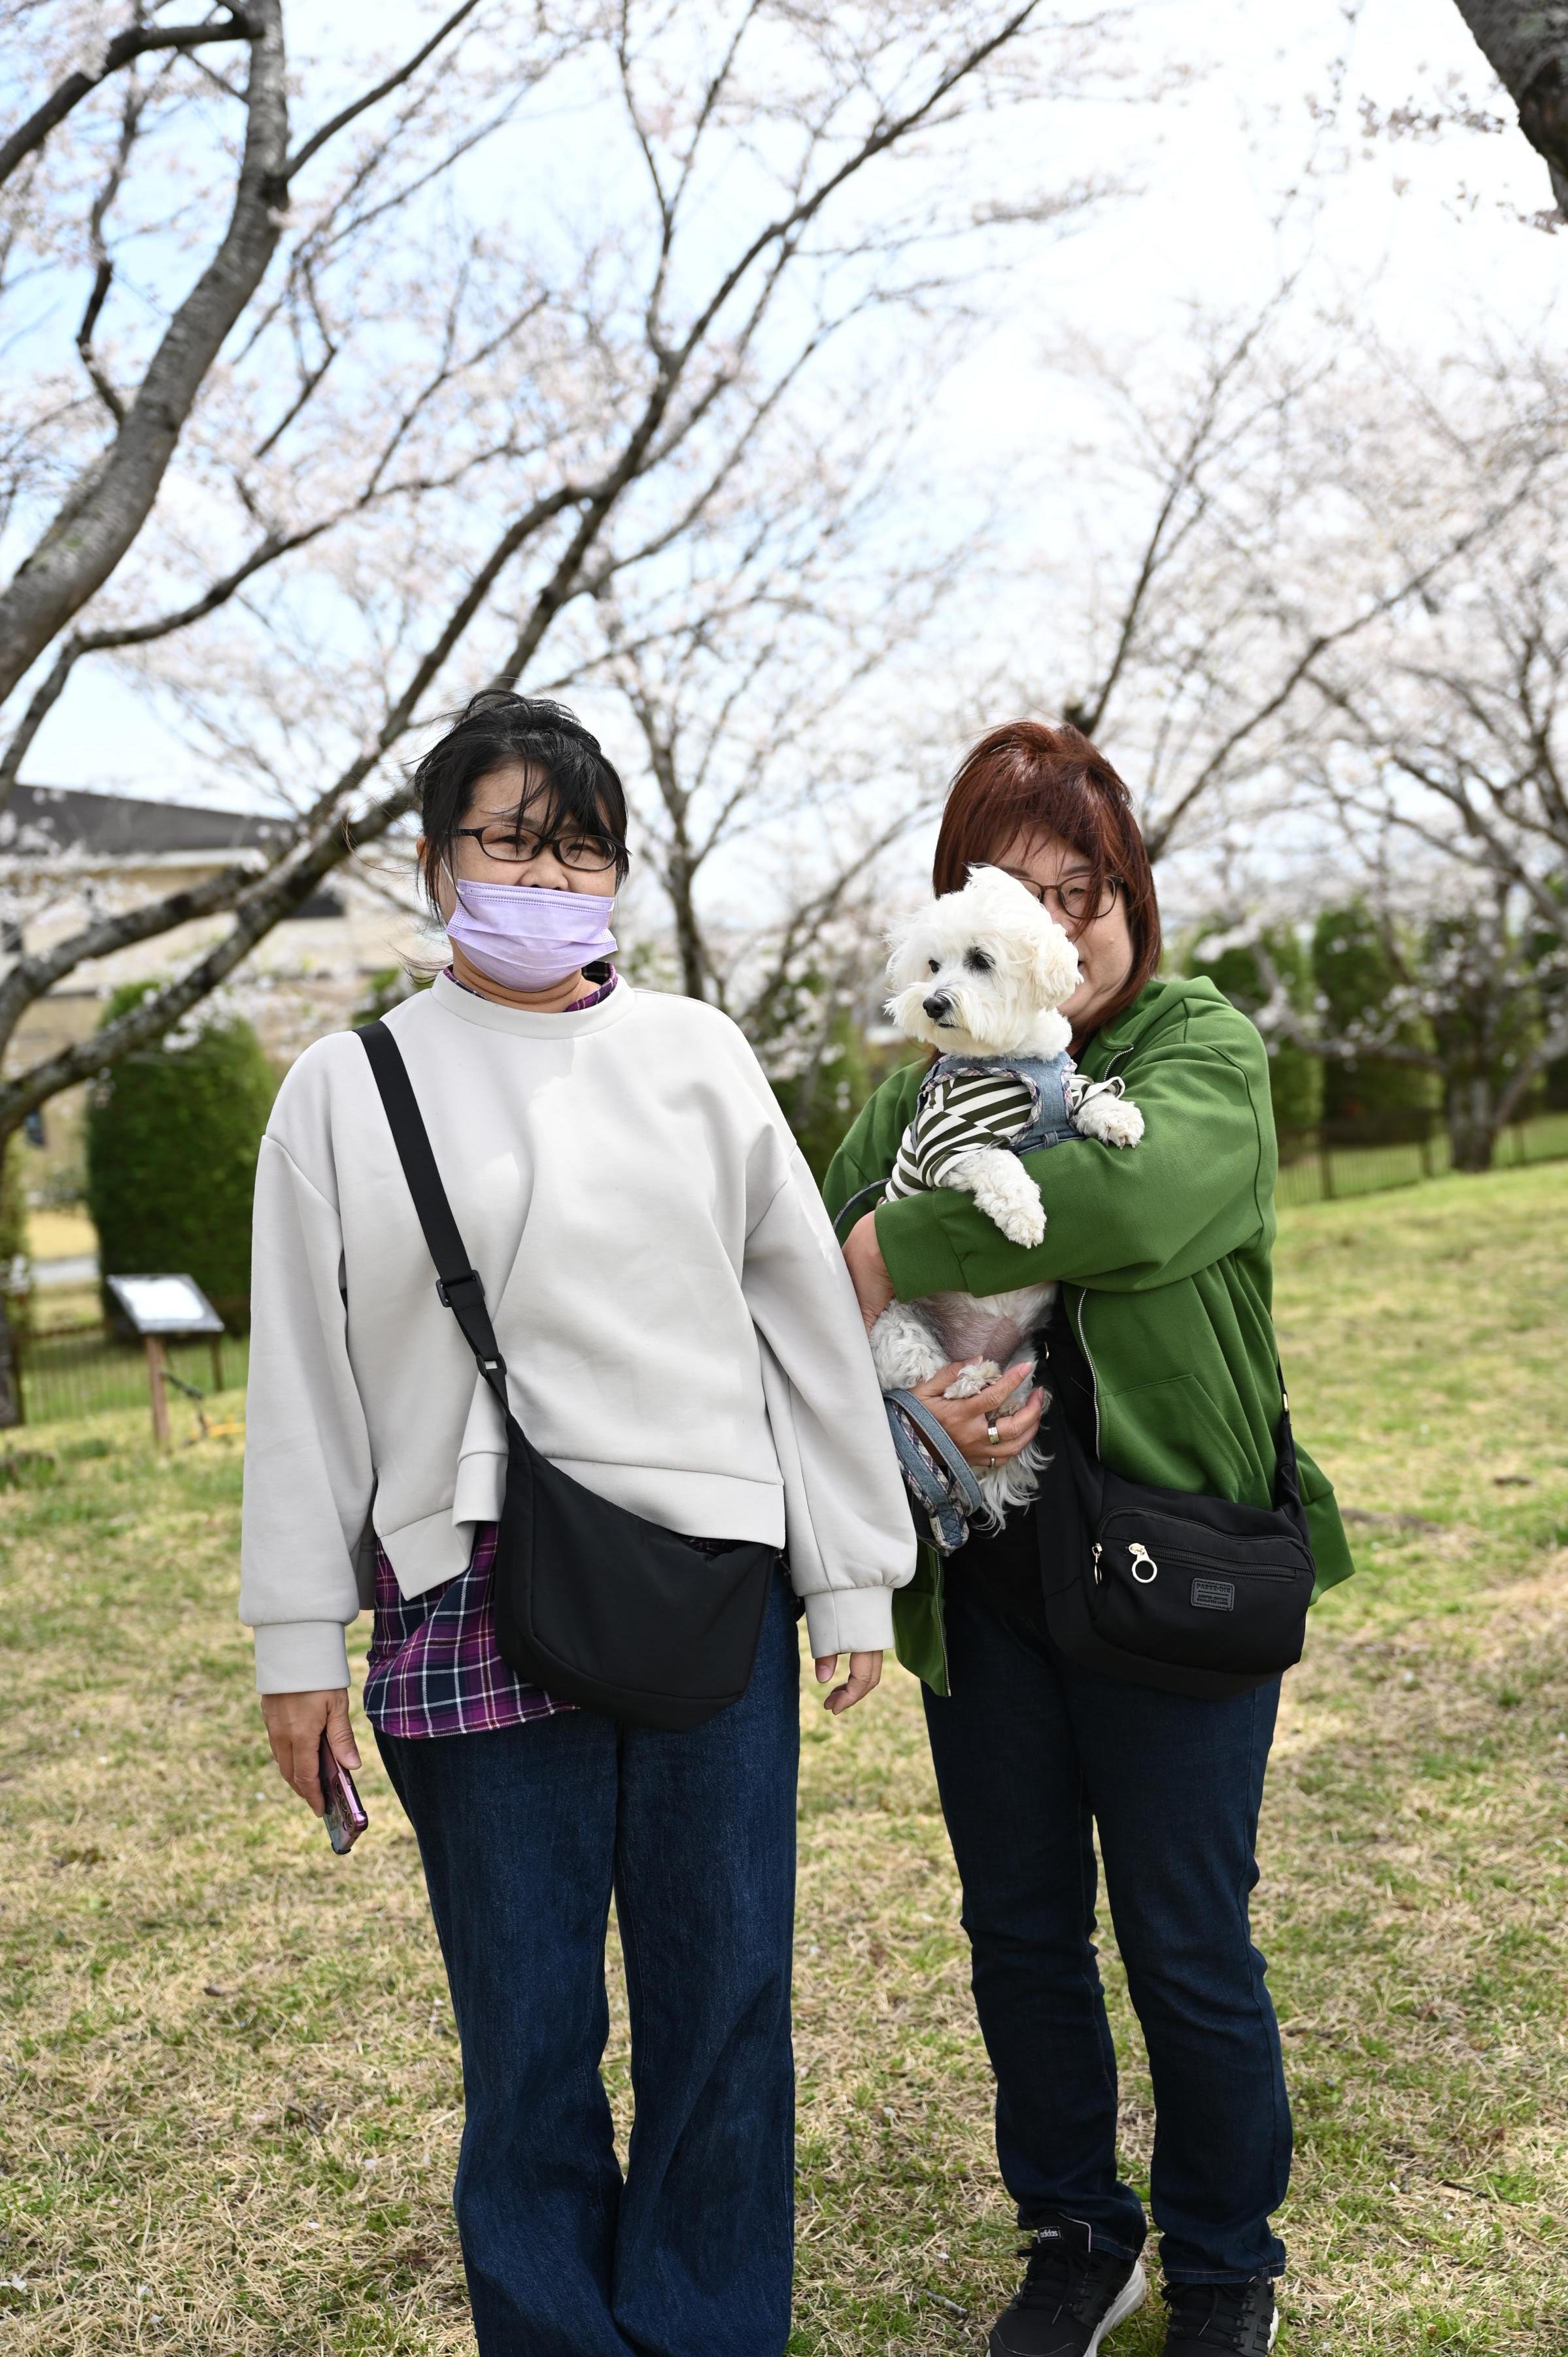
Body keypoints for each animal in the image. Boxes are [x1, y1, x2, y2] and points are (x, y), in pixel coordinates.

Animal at [862, 867, 1146, 1527]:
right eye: (932, 964)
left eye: (980, 960)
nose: (933, 1002)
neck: (1009, 1061)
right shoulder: (945, 1143)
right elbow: (994, 1160)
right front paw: (1024, 1215)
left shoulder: (1067, 1082)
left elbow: (1091, 1095)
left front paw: (1120, 1118)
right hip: (897, 1327)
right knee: (929, 1378)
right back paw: (970, 1380)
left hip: (1025, 1354)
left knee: (1011, 1387)